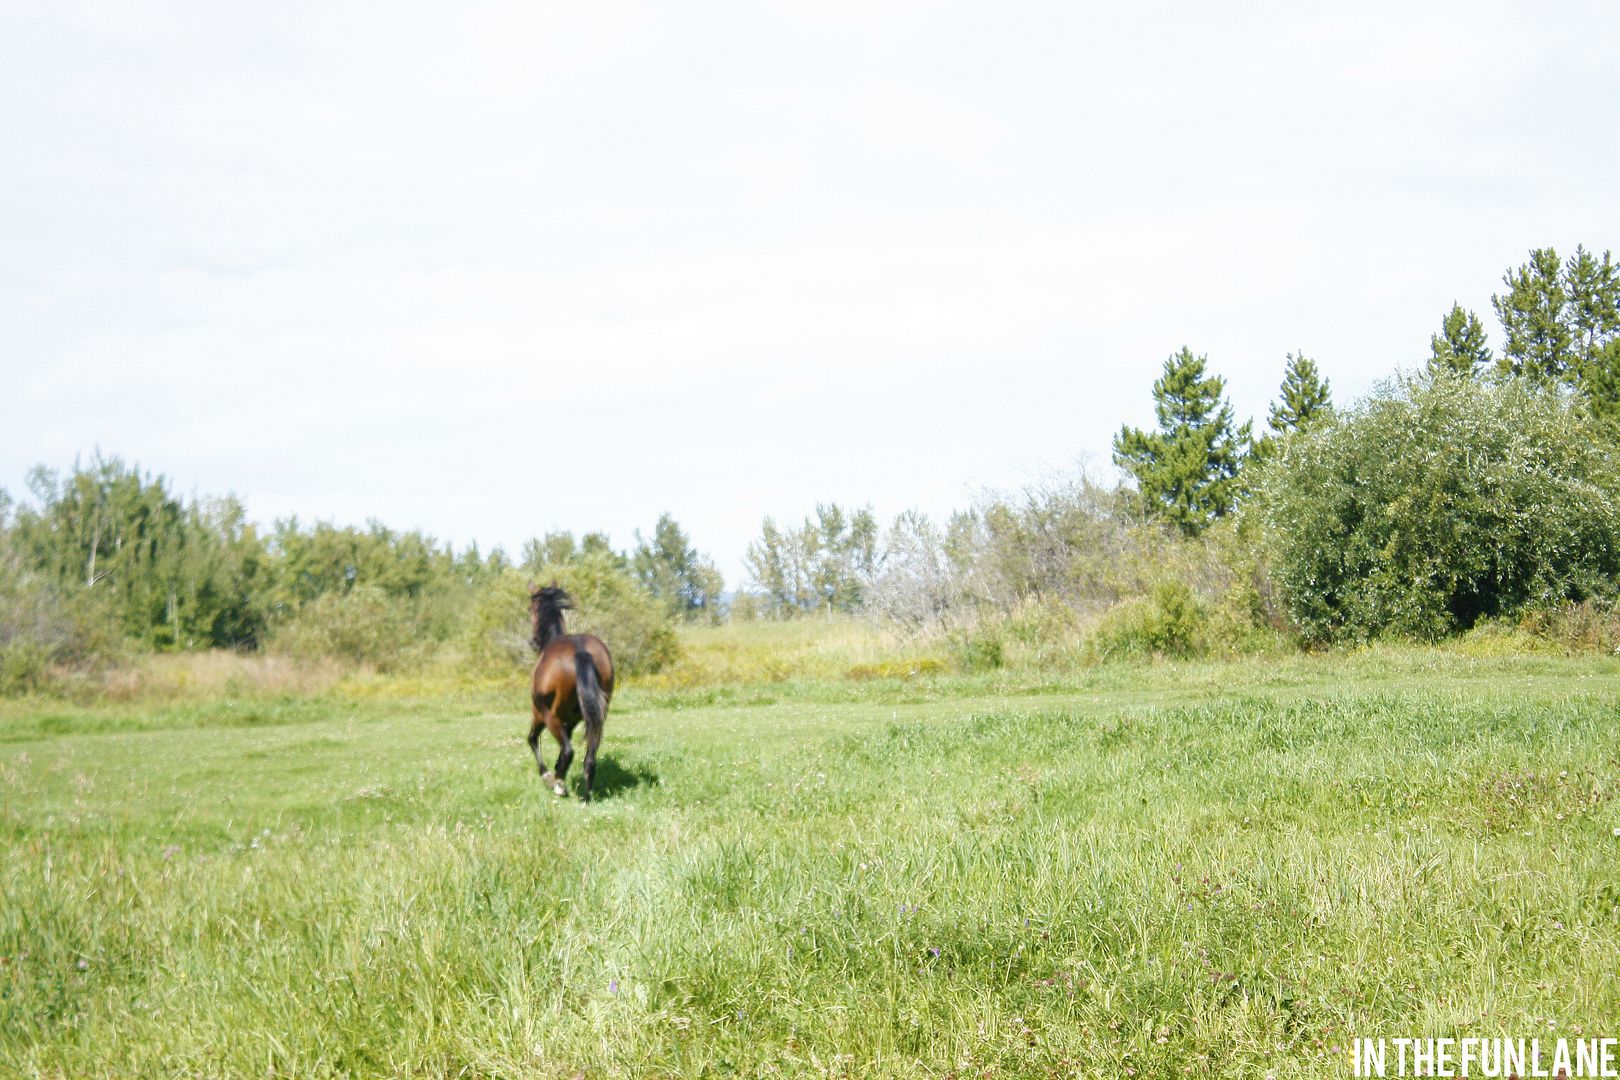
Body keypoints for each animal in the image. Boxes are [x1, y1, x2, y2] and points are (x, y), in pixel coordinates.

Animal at [528, 582, 615, 803]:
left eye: (530, 609)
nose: (533, 642)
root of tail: (580, 651)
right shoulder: (572, 721)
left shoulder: (539, 715)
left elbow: (532, 740)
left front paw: (547, 774)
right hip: (595, 717)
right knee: (589, 758)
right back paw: (585, 797)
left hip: (549, 716)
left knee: (568, 751)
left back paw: (558, 784)